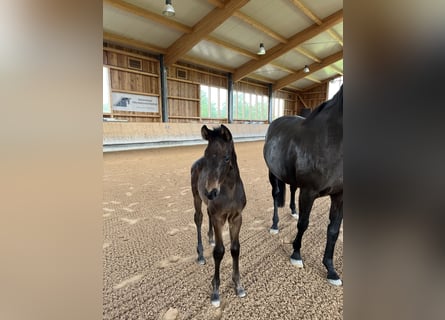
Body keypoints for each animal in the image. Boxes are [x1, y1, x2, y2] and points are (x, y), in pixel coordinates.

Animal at [191, 125, 246, 308]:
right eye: (207, 154)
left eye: (226, 158)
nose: (210, 192)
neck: (229, 191)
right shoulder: (219, 218)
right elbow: (219, 252)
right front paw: (215, 292)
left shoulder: (236, 217)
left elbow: (235, 249)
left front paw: (238, 285)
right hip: (196, 197)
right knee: (199, 218)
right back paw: (201, 255)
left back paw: (211, 238)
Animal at [264, 85, 344, 284]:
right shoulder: (309, 192)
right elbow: (303, 224)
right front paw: (296, 255)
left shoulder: (340, 196)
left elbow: (333, 230)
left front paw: (331, 270)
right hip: (272, 174)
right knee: (276, 196)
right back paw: (275, 225)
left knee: (292, 189)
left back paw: (293, 210)